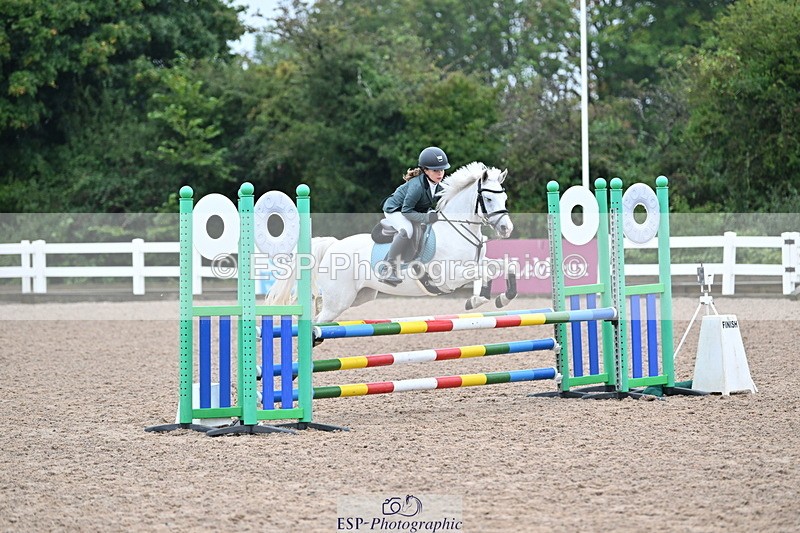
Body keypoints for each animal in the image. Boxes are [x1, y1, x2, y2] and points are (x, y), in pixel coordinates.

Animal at [266, 161, 518, 323]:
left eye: (504, 197)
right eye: (488, 199)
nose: (507, 229)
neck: (456, 229)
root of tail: (333, 246)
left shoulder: (477, 264)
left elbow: (505, 266)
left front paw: (501, 299)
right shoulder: (450, 276)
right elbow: (485, 271)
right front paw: (476, 301)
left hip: (360, 296)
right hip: (339, 300)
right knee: (317, 320)